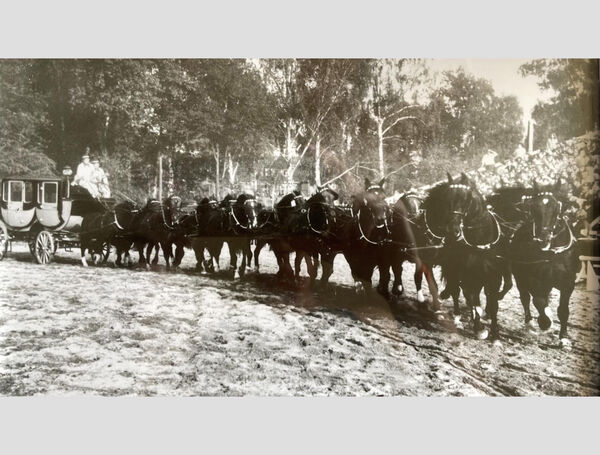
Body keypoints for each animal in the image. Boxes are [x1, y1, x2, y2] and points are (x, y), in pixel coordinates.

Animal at [424, 175, 512, 342]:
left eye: (466, 199)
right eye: (447, 198)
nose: (453, 230)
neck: (480, 241)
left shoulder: (493, 276)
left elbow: (493, 302)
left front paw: (495, 334)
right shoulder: (466, 274)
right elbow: (469, 297)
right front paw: (479, 328)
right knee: (457, 291)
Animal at [508, 180, 580, 348]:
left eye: (556, 208)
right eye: (534, 207)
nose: (543, 239)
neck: (553, 252)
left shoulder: (568, 282)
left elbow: (563, 310)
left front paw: (563, 337)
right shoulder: (534, 279)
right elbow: (538, 301)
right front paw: (545, 321)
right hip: (520, 277)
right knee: (525, 298)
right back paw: (530, 324)